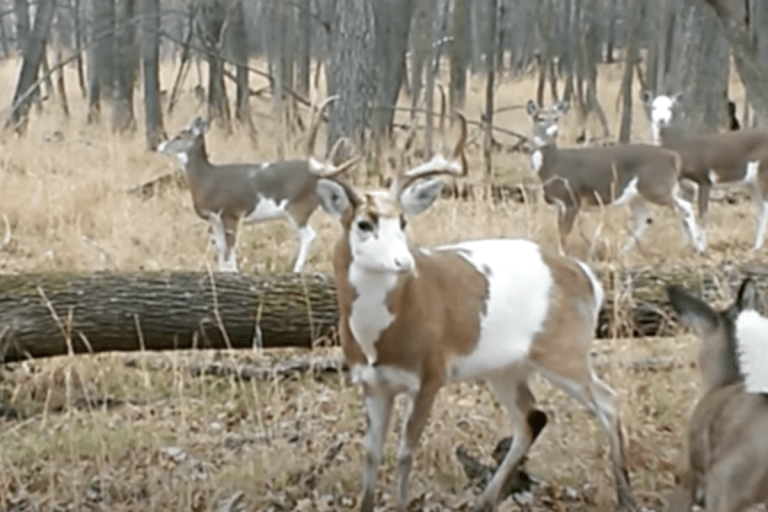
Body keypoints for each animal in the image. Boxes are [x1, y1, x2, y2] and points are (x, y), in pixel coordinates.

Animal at [157, 101, 355, 273]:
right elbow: (220, 248)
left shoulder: (231, 213)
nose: (160, 145)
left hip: (298, 206)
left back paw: (296, 270)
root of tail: (320, 174)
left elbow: (230, 248)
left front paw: (233, 272)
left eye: (179, 136)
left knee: (309, 235)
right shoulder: (214, 218)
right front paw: (222, 271)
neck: (205, 179)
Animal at [314, 114, 636, 512]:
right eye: (364, 223)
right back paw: (485, 499)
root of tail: (586, 276)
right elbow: (371, 455)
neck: (379, 339)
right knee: (531, 417)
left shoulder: (431, 374)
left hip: (564, 351)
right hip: (504, 366)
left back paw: (625, 496)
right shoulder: (371, 382)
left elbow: (405, 452)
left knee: (608, 401)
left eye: (403, 222)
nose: (404, 262)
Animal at [526, 99, 705, 253]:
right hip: (638, 195)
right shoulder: (559, 203)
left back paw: (699, 246)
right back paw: (625, 250)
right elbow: (560, 230)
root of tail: (674, 157)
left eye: (556, 118)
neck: (553, 164)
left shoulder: (572, 199)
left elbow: (564, 232)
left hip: (655, 185)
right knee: (646, 218)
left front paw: (563, 255)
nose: (554, 131)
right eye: (540, 118)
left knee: (685, 207)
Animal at [644, 92, 768, 250]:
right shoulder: (685, 186)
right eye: (653, 107)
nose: (662, 120)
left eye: (670, 107)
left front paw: (702, 247)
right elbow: (685, 216)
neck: (682, 149)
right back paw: (755, 245)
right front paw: (685, 246)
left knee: (765, 207)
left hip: (763, 172)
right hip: (750, 183)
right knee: (760, 208)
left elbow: (702, 214)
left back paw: (757, 247)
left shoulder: (704, 179)